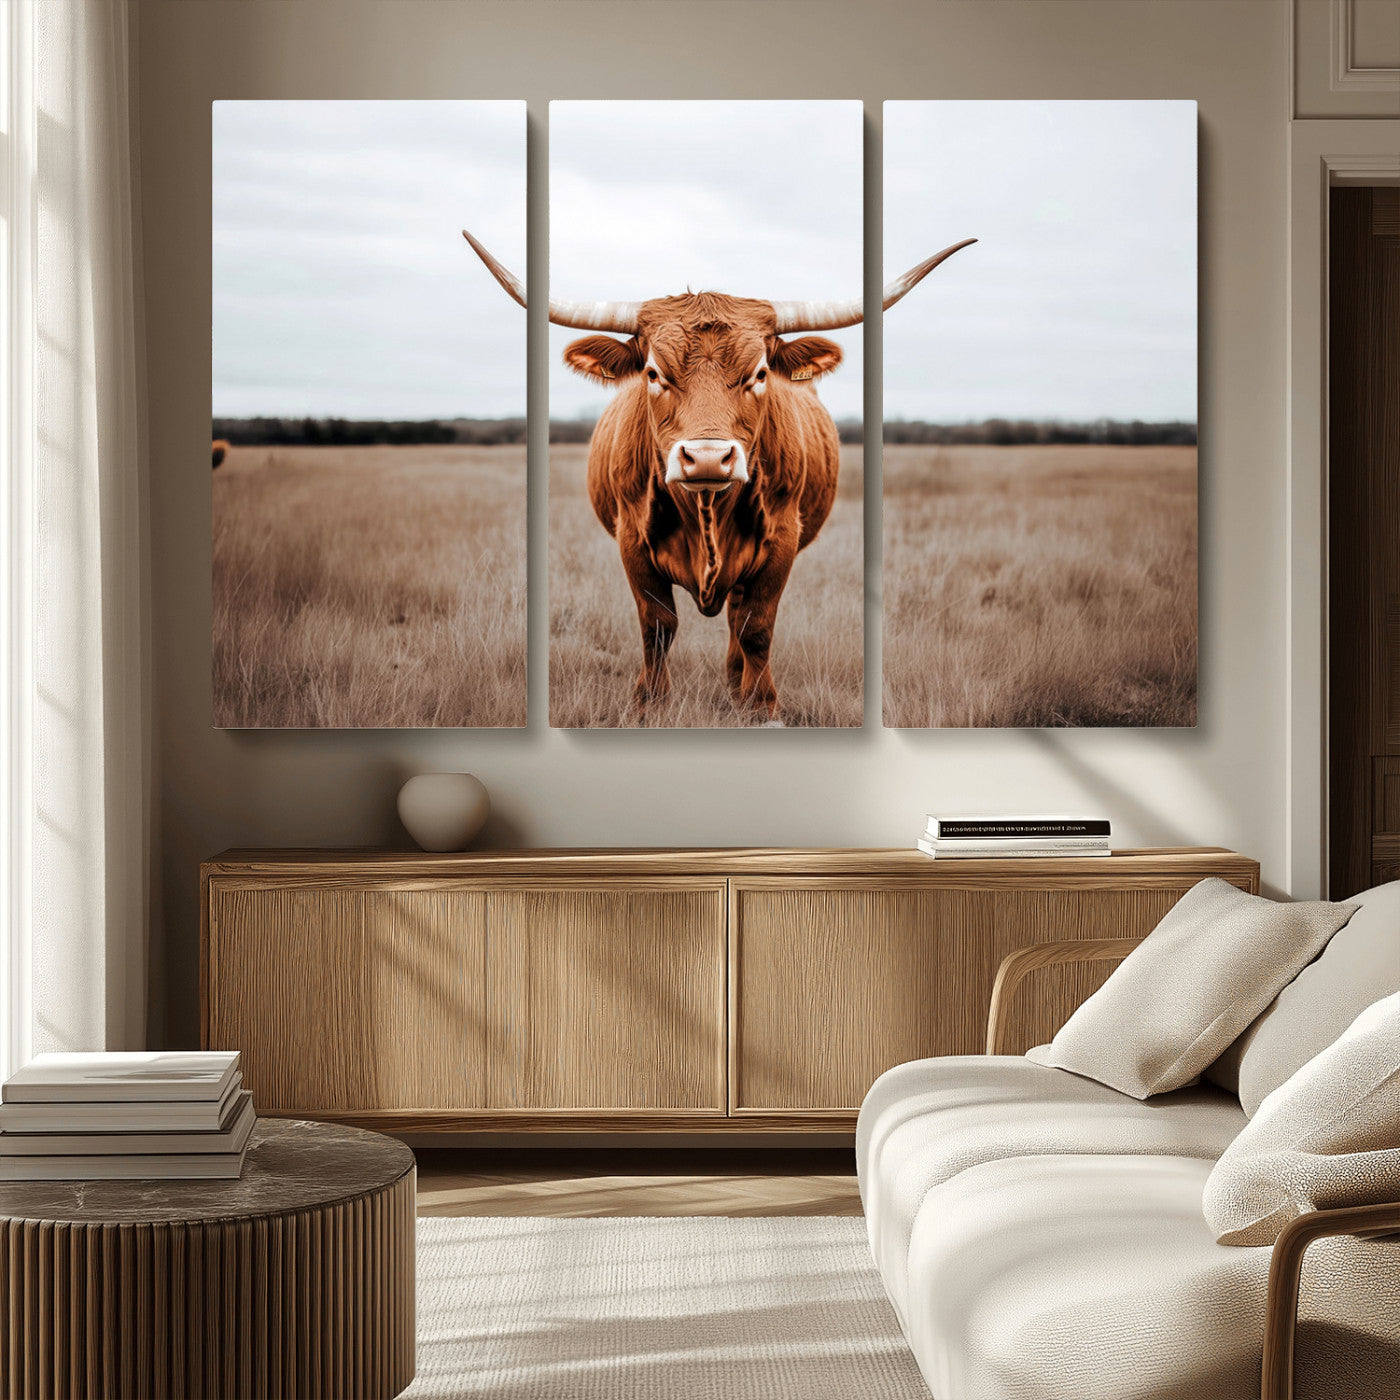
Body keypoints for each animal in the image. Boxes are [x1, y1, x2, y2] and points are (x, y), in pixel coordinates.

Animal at [463, 230, 974, 722]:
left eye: (760, 373)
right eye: (653, 373)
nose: (708, 458)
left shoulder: (782, 540)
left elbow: (756, 627)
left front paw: (761, 706)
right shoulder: (631, 540)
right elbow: (658, 626)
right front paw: (649, 705)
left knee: (736, 618)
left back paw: (735, 685)